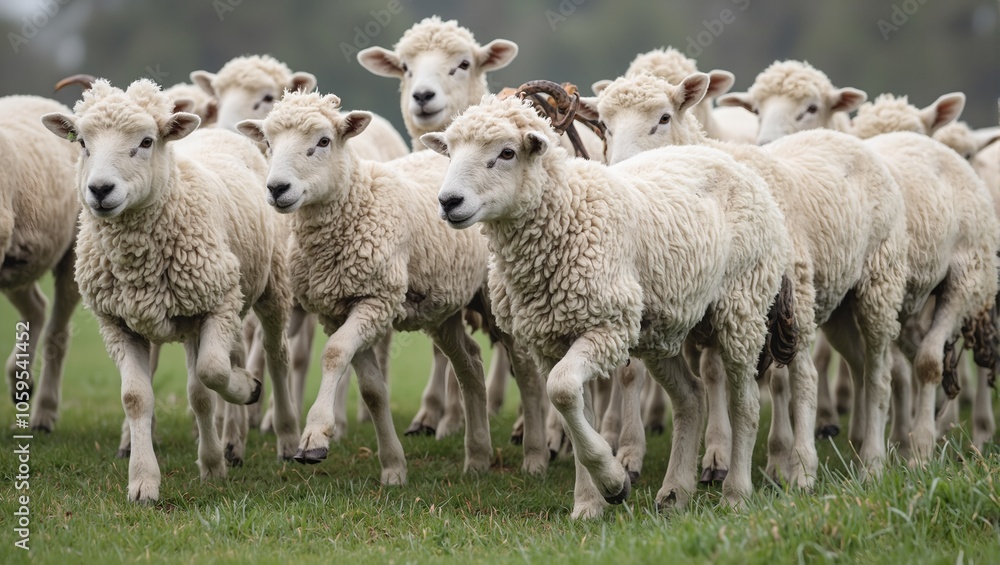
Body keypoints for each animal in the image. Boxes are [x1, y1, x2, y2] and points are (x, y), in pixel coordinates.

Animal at [40, 78, 299, 502]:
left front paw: (220, 445)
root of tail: (220, 132)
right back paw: (232, 440)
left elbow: (209, 378)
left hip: (269, 288)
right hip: (210, 306)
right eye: (81, 142)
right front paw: (144, 481)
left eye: (147, 141)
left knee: (276, 357)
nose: (100, 189)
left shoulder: (216, 305)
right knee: (228, 364)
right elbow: (138, 398)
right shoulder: (118, 323)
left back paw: (287, 437)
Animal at [236, 91, 552, 479]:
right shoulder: (339, 309)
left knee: (524, 369)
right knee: (470, 365)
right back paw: (477, 458)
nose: (277, 188)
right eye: (267, 142)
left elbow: (334, 354)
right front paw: (393, 467)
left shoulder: (375, 299)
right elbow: (372, 390)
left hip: (494, 297)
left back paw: (534, 456)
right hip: (442, 305)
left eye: (323, 141)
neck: (358, 202)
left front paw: (315, 437)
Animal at [423, 94, 794, 518]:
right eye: (450, 152)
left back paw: (736, 494)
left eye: (507, 153)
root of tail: (731, 159)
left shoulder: (607, 327)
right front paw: (591, 501)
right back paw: (674, 493)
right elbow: (570, 404)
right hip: (659, 328)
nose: (448, 202)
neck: (567, 214)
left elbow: (561, 390)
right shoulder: (550, 340)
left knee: (745, 404)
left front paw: (612, 479)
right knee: (691, 397)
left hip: (742, 305)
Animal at [578, 72, 910, 484]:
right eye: (603, 125)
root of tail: (842, 137)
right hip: (838, 303)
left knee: (873, 372)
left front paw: (790, 463)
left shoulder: (780, 298)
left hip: (876, 280)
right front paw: (662, 456)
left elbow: (793, 381)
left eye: (664, 118)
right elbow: (703, 375)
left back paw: (870, 461)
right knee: (860, 364)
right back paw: (860, 439)